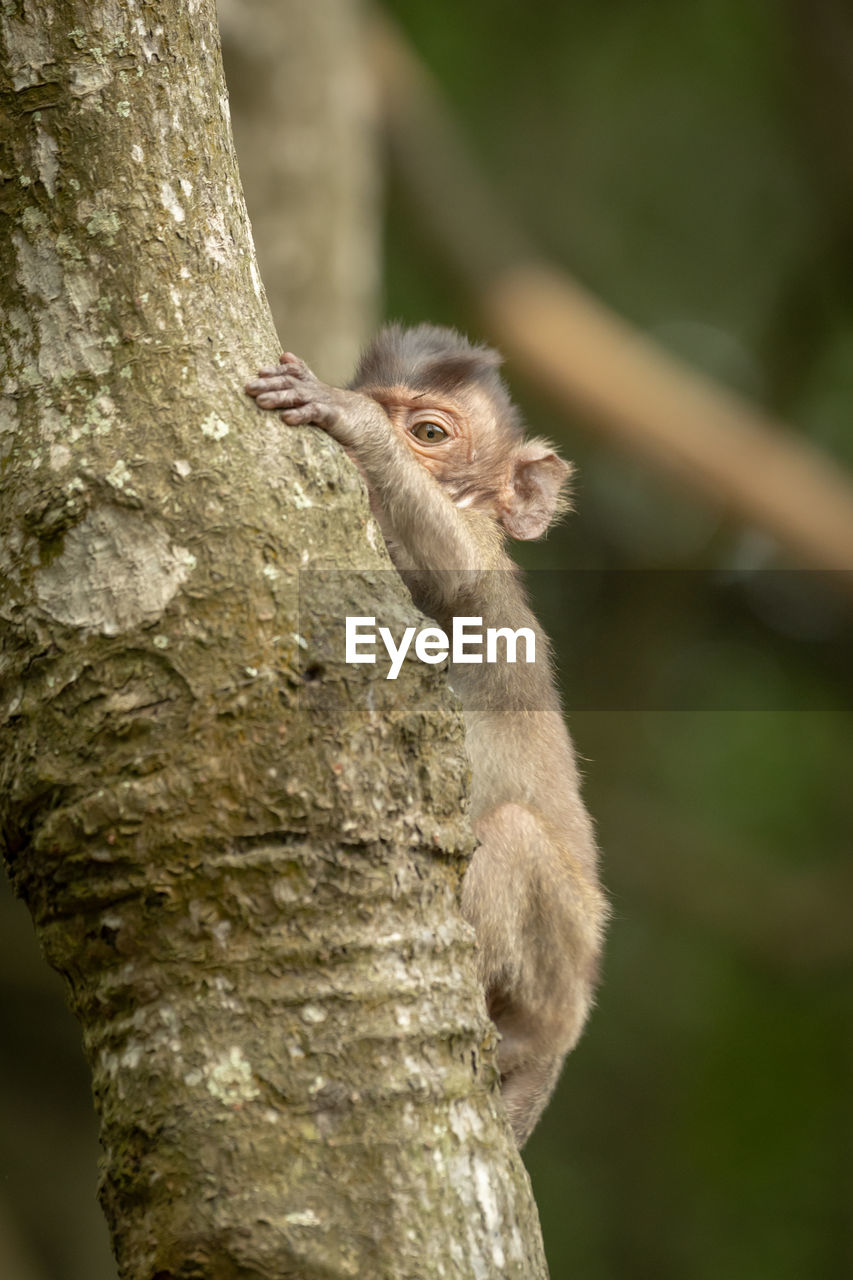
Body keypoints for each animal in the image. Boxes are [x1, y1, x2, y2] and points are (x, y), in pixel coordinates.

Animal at [245, 325, 604, 1146]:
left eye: (430, 434)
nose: (381, 427)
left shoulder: (482, 575)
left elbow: (459, 569)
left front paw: (346, 421)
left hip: (562, 961)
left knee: (512, 835)